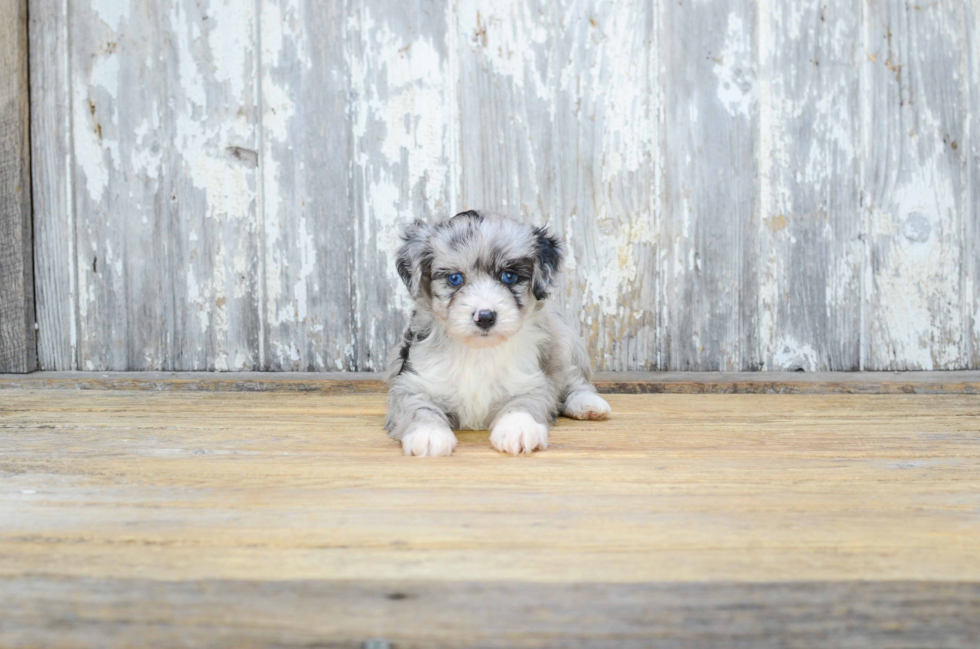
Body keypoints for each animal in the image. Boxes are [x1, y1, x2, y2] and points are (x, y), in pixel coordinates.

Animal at [384, 209, 608, 456]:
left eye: (508, 276)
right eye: (455, 278)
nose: (485, 317)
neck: (478, 351)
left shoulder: (530, 381)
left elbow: (523, 403)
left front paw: (518, 428)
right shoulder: (413, 382)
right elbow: (419, 408)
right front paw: (428, 433)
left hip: (563, 340)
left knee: (575, 380)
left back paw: (588, 404)